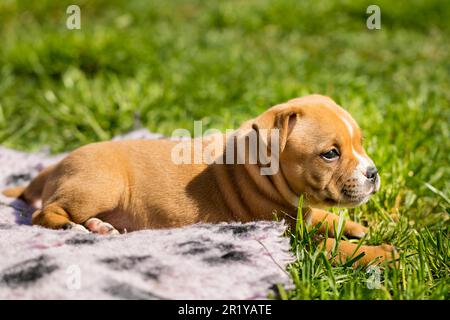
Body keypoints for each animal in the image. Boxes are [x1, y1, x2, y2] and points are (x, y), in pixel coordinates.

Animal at [4, 95, 398, 268]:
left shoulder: (299, 213)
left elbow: (324, 217)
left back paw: (100, 228)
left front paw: (357, 227)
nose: (373, 173)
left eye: (360, 143)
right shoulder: (290, 236)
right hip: (99, 184)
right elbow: (333, 246)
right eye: (330, 153)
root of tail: (57, 165)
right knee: (44, 214)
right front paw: (383, 253)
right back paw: (74, 229)